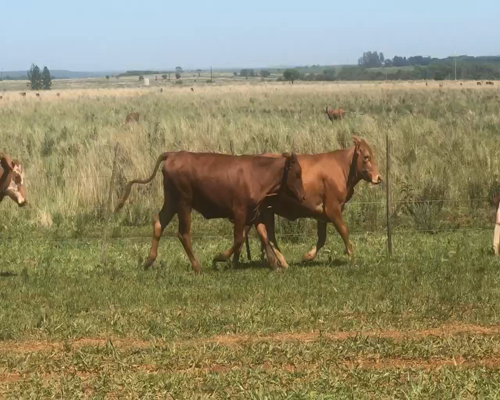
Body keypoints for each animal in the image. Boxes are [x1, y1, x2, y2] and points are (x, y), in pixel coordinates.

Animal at [115, 152, 306, 274]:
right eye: (297, 174)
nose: (303, 196)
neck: (257, 175)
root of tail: (174, 154)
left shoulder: (255, 213)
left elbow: (264, 236)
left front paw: (275, 265)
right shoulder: (239, 212)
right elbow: (239, 239)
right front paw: (218, 258)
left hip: (171, 201)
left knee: (159, 223)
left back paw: (149, 260)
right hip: (184, 203)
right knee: (183, 233)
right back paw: (198, 267)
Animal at [234, 137, 378, 266]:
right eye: (366, 157)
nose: (378, 177)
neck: (343, 168)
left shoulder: (322, 214)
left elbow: (322, 238)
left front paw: (307, 256)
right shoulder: (333, 208)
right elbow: (344, 231)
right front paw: (353, 259)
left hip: (265, 210)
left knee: (261, 233)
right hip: (265, 210)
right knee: (265, 234)